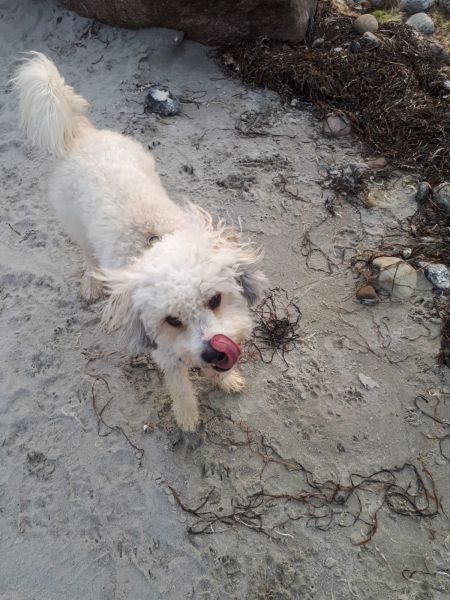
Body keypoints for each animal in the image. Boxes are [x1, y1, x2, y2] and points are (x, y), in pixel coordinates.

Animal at [13, 52, 267, 431]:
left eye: (215, 299)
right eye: (172, 321)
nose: (214, 350)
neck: (153, 243)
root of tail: (81, 136)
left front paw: (226, 380)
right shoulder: (166, 351)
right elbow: (179, 386)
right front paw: (188, 417)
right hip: (77, 228)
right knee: (88, 257)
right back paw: (92, 283)